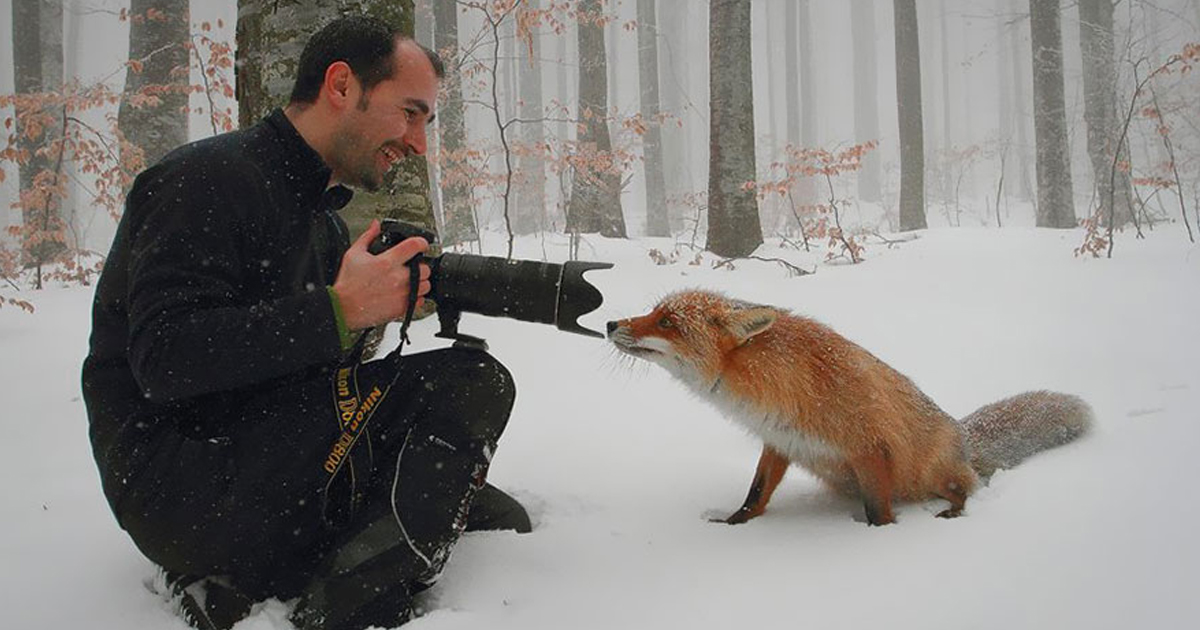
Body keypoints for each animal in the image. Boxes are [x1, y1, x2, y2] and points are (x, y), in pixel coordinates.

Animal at [604, 291, 1094, 525]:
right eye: (653, 311)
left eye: (667, 322)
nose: (609, 323)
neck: (779, 384)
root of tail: (963, 435)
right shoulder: (779, 441)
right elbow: (755, 495)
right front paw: (733, 525)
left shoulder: (869, 448)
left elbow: (879, 512)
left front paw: (877, 542)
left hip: (933, 472)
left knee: (968, 489)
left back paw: (954, 512)